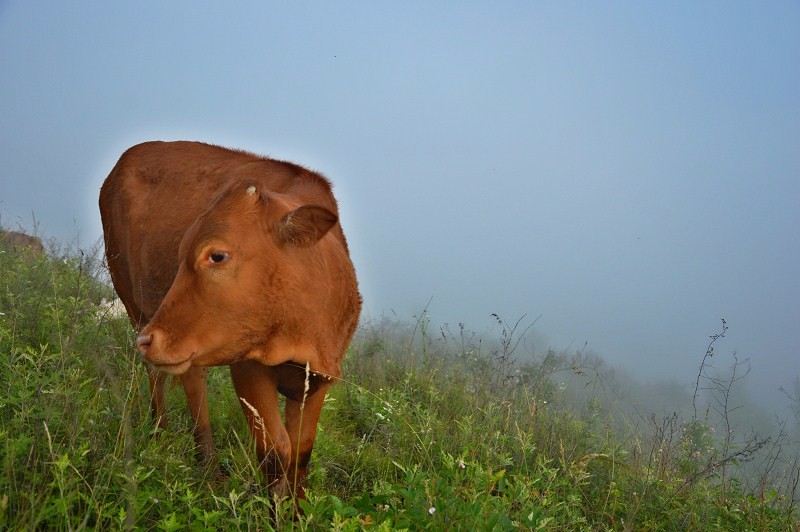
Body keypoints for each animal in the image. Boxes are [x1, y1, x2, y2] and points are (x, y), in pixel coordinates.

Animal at [98, 139, 360, 496]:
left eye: (217, 255)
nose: (149, 340)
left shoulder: (318, 379)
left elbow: (300, 456)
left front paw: (297, 507)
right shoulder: (248, 369)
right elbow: (275, 453)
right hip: (135, 305)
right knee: (170, 380)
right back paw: (175, 443)